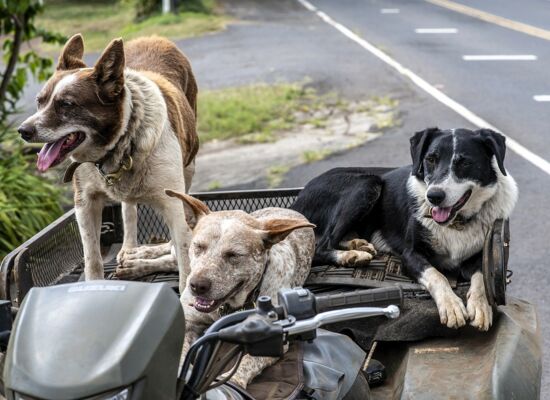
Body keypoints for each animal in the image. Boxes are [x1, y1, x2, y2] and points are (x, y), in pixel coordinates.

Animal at [18, 34, 202, 290]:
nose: (23, 131)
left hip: (189, 168)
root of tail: (155, 37)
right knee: (128, 208)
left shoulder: (174, 205)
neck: (120, 143)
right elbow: (92, 259)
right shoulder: (85, 203)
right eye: (40, 101)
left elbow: (185, 260)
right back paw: (130, 249)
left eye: (66, 104)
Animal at [166, 189, 316, 390]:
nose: (197, 285)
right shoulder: (189, 321)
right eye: (199, 246)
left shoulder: (272, 337)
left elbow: (247, 362)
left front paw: (233, 383)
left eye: (233, 255)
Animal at [296, 128, 520, 332]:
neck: (455, 223)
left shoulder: (480, 256)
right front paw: (451, 306)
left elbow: (481, 276)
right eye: (430, 159)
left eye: (465, 162)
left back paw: (357, 245)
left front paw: (481, 307)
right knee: (321, 245)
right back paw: (351, 256)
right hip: (367, 183)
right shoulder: (410, 255)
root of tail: (299, 199)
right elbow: (436, 275)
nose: (433, 196)